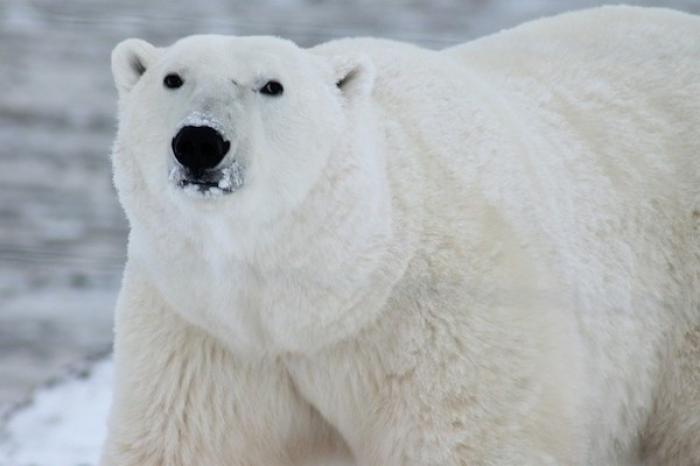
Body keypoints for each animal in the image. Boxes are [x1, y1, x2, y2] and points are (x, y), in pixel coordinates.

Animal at [102, 6, 700, 466]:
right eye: (172, 78)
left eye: (272, 85)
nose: (200, 142)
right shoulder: (204, 333)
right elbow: (183, 442)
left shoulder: (445, 323)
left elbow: (467, 440)